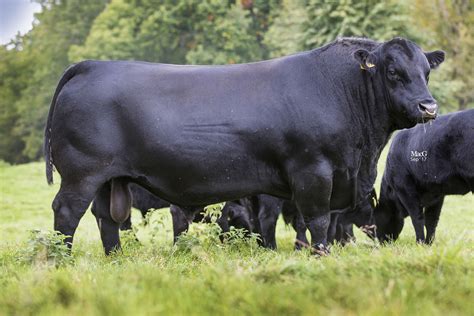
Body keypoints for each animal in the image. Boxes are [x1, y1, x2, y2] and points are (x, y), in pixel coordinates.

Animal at [44, 37, 444, 254]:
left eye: (426, 71)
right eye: (393, 72)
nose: (429, 107)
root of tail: (92, 65)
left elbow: (322, 221)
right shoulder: (313, 171)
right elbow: (317, 220)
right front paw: (320, 256)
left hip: (108, 179)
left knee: (106, 218)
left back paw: (117, 258)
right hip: (81, 174)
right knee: (67, 213)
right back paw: (62, 260)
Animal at [376, 110, 472, 243]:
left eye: (376, 222)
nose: (381, 242)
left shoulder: (405, 190)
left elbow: (417, 218)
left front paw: (420, 242)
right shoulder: (437, 195)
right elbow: (431, 221)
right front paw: (429, 243)